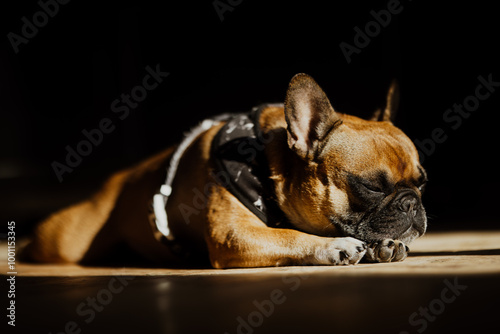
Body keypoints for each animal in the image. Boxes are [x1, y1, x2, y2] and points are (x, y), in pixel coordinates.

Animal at [23, 73, 426, 268]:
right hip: (64, 241)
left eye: (423, 183)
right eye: (372, 187)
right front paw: (334, 246)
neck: (269, 162)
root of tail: (120, 178)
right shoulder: (233, 236)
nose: (411, 203)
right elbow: (288, 236)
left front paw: (383, 247)